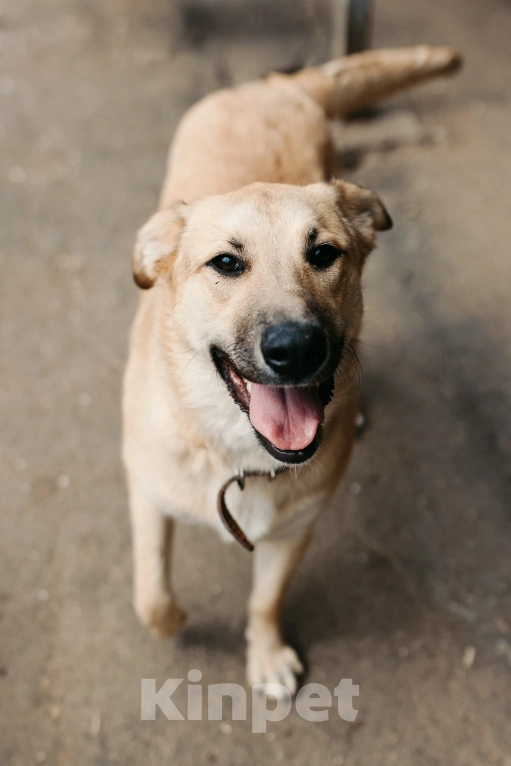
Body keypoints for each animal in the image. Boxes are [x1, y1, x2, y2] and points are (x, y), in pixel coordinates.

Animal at [124, 45, 464, 700]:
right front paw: (176, 619)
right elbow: (152, 598)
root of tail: (275, 84)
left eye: (323, 254)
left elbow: (265, 600)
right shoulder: (147, 491)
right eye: (226, 264)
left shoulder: (294, 531)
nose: (296, 349)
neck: (237, 457)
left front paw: (266, 654)